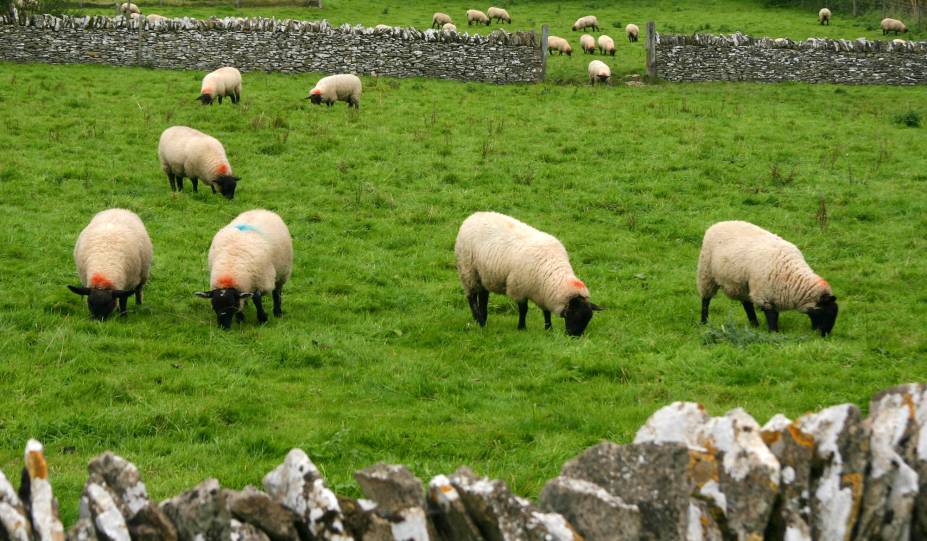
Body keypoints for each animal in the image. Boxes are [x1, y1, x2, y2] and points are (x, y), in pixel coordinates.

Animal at [454, 210, 600, 334]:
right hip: (468, 270)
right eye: (574, 313)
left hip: (484, 274)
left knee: (483, 295)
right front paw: (522, 327)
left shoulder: (543, 292)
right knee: (472, 296)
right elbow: (524, 310)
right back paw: (478, 319)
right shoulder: (518, 288)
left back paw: (483, 320)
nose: (574, 336)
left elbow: (546, 312)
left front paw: (549, 328)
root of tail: (473, 216)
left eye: (588, 319)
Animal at [696, 219, 840, 334]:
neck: (791, 276)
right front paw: (774, 333)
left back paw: (754, 324)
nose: (825, 334)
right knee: (706, 299)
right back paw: (704, 321)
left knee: (747, 303)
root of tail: (719, 223)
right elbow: (772, 315)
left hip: (743, 284)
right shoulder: (764, 294)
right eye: (827, 312)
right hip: (706, 272)